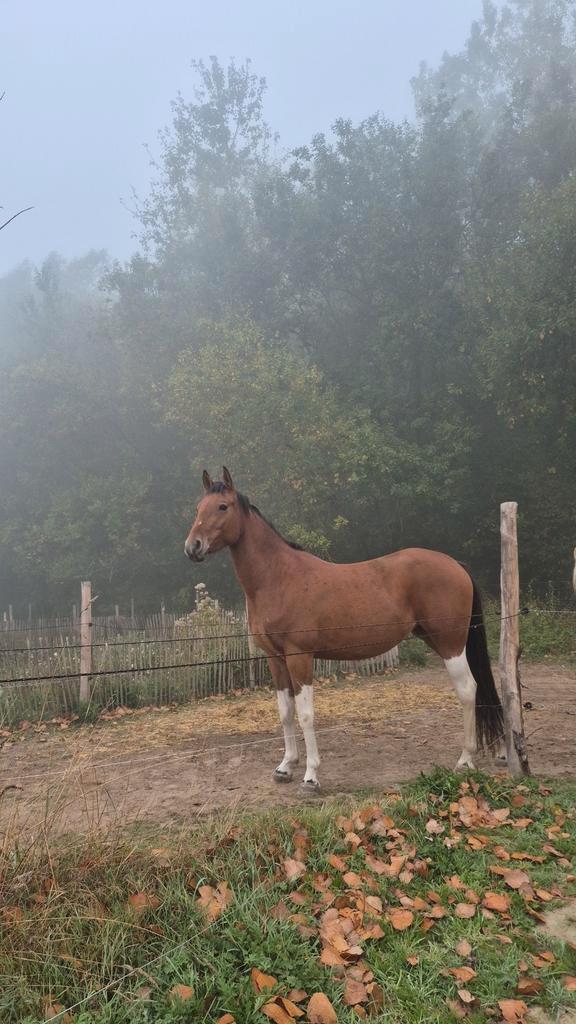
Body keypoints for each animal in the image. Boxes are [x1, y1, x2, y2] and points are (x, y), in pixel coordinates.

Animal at [185, 468, 504, 789]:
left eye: (222, 507)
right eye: (198, 508)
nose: (192, 547)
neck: (278, 577)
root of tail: (456, 565)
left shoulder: (300, 656)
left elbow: (306, 714)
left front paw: (311, 776)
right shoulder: (275, 659)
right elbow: (286, 712)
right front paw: (285, 767)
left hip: (451, 643)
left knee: (468, 689)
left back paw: (465, 760)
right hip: (435, 639)